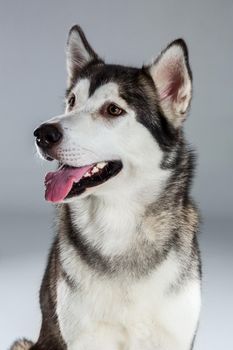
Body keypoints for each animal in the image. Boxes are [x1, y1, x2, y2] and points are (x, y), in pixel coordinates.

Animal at [10, 25, 200, 350]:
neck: (119, 222)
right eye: (72, 101)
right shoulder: (87, 337)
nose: (43, 134)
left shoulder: (174, 336)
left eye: (113, 110)